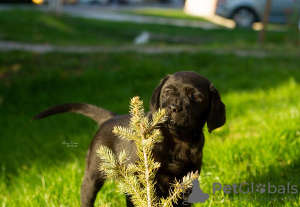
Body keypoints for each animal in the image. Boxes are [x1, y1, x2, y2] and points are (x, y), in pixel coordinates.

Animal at [32, 71, 225, 207]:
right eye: (168, 91)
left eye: (196, 96)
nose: (172, 108)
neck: (178, 139)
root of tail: (110, 118)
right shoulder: (142, 181)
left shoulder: (186, 184)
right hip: (93, 174)